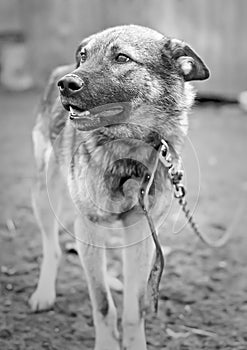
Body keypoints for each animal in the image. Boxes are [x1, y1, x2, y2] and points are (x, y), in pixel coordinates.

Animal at [29, 25, 209, 350]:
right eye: (84, 56)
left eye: (122, 58)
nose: (67, 84)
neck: (128, 150)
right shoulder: (89, 224)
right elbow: (102, 304)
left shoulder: (141, 233)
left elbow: (135, 309)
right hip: (43, 195)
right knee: (53, 248)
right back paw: (44, 293)